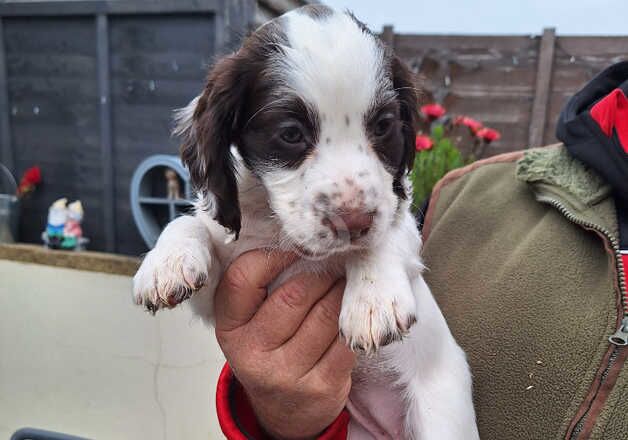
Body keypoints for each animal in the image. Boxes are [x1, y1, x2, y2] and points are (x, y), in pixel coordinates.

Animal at [132, 5, 476, 438]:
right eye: (291, 134)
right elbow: (188, 223)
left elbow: (388, 234)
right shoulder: (220, 293)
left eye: (383, 126)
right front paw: (167, 264)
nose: (354, 222)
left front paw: (372, 301)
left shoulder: (401, 222)